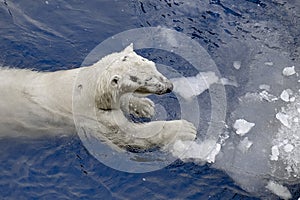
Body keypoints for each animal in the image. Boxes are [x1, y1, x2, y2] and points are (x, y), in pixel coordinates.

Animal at [0, 43, 197, 150]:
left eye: (153, 65)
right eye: (146, 79)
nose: (170, 87)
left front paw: (145, 106)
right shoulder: (93, 118)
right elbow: (130, 134)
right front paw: (186, 128)